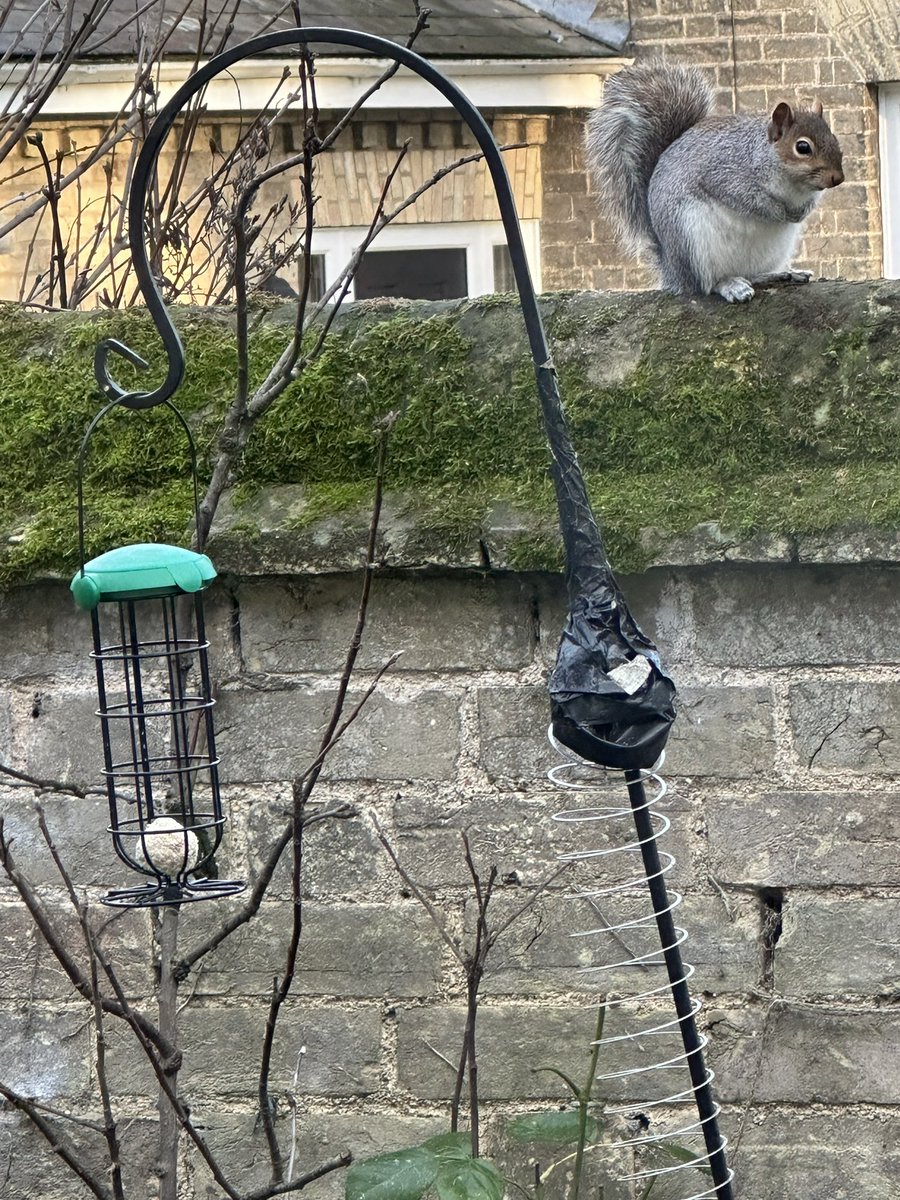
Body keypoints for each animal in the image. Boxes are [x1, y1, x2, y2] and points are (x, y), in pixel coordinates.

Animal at [584, 60, 845, 302]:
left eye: (834, 138)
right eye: (803, 147)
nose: (838, 178)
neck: (793, 186)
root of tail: (673, 271)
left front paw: (801, 212)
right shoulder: (723, 175)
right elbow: (748, 200)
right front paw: (777, 211)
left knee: (752, 274)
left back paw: (782, 274)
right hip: (692, 242)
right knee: (707, 285)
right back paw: (731, 286)